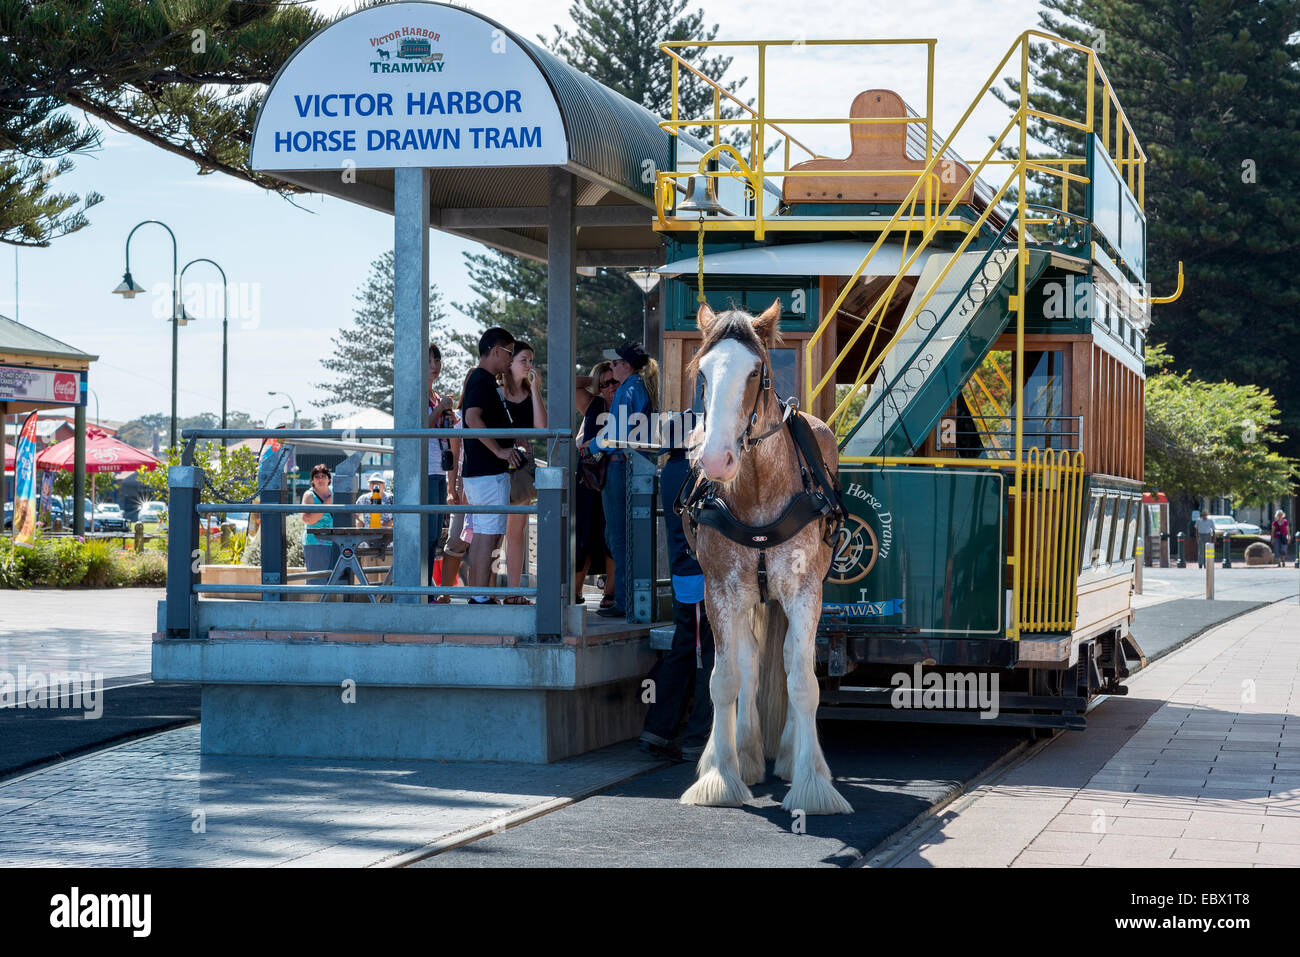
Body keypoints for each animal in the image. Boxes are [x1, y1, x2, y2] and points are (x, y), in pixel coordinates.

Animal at [676, 299, 857, 816]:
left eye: (756, 371)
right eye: (703, 373)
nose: (715, 460)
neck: (757, 489)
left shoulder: (804, 592)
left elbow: (803, 682)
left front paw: (812, 783)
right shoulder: (720, 590)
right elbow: (726, 678)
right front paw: (720, 776)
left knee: (792, 660)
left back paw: (793, 753)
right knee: (752, 661)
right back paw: (749, 752)